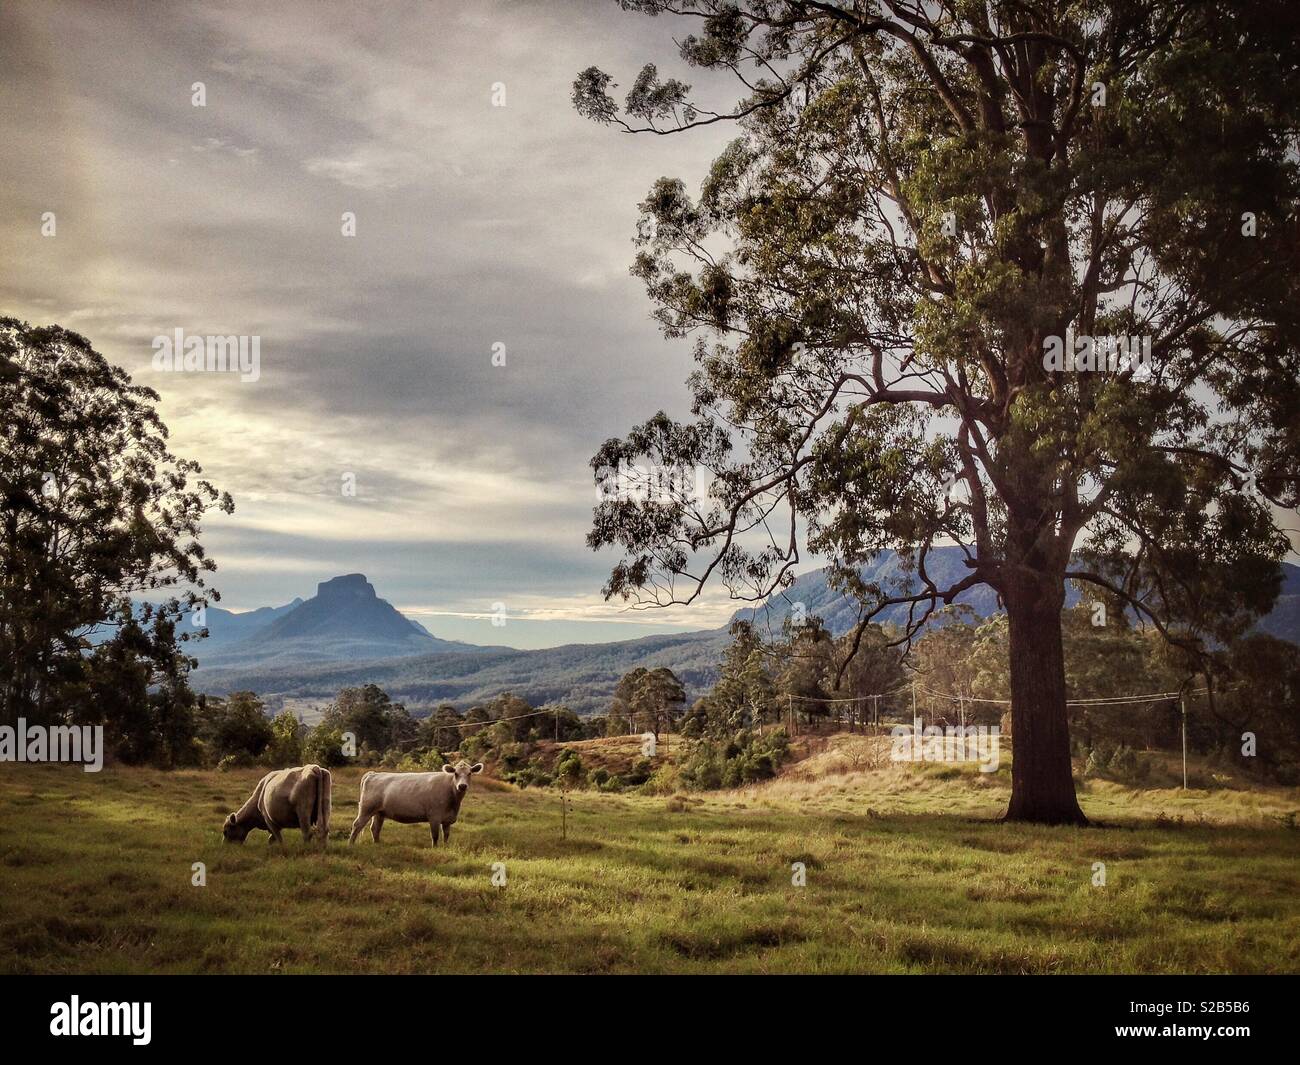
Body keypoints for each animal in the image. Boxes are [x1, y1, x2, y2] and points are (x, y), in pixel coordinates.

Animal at [351, 759, 483, 847]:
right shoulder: (434, 817)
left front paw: (445, 848)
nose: (462, 786)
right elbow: (435, 836)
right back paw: (350, 844)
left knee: (375, 828)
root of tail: (374, 773)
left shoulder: (447, 820)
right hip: (366, 808)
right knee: (357, 825)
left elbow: (446, 836)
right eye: (455, 773)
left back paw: (377, 844)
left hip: (379, 812)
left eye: (469, 773)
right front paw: (435, 849)